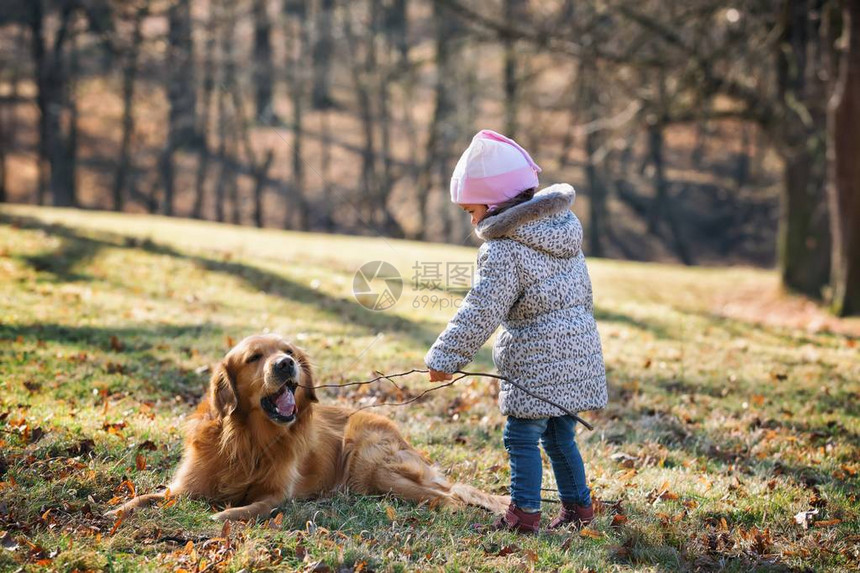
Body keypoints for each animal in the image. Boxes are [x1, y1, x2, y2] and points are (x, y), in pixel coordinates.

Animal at [109, 332, 510, 520]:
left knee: (449, 498)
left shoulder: (277, 494)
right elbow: (148, 497)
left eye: (288, 351)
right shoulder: (186, 487)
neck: (250, 440)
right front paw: (117, 510)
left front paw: (224, 515)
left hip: (371, 462)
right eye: (254, 357)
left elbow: (249, 508)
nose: (286, 364)